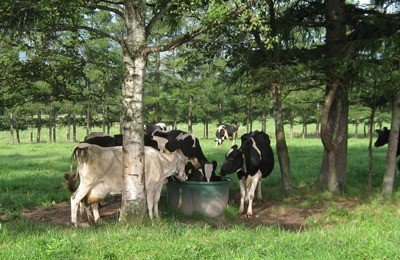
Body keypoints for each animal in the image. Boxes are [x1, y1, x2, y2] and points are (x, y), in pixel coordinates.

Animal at [70, 143, 198, 226]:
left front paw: (158, 217)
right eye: (185, 164)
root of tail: (83, 147)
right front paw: (151, 219)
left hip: (95, 186)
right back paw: (75, 223)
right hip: (87, 182)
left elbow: (156, 201)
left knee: (88, 202)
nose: (186, 177)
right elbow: (150, 203)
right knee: (76, 198)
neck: (161, 162)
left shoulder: (158, 185)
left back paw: (94, 221)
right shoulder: (150, 186)